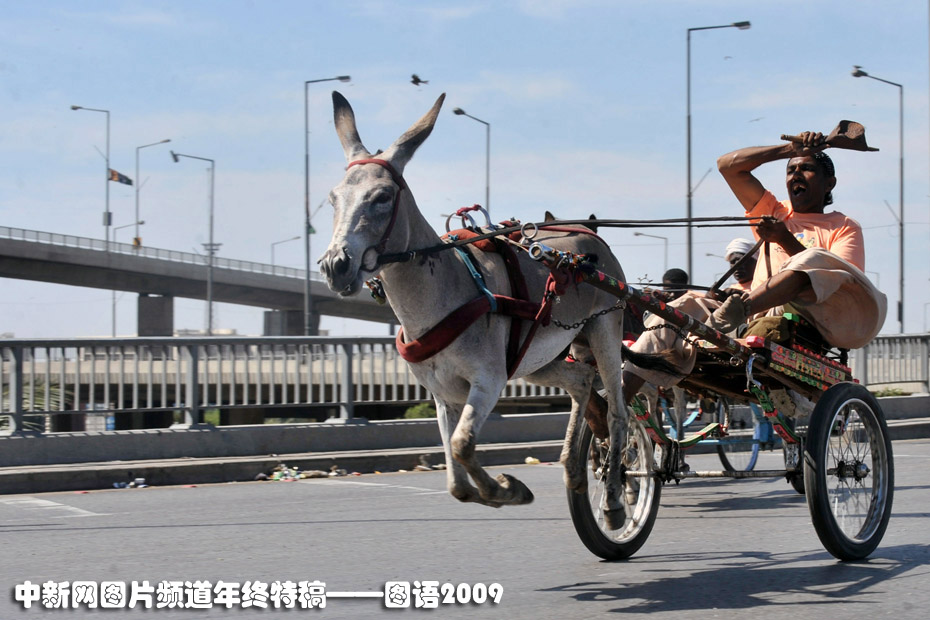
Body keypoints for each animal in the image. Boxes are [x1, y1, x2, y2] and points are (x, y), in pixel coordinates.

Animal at [319, 92, 672, 528]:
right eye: (333, 198)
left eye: (382, 197)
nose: (335, 266)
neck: (443, 295)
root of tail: (590, 236)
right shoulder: (443, 395)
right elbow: (455, 479)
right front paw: (500, 488)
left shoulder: (488, 380)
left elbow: (462, 444)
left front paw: (509, 488)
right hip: (541, 359)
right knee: (581, 381)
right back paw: (573, 469)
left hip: (604, 329)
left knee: (618, 412)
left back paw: (614, 498)